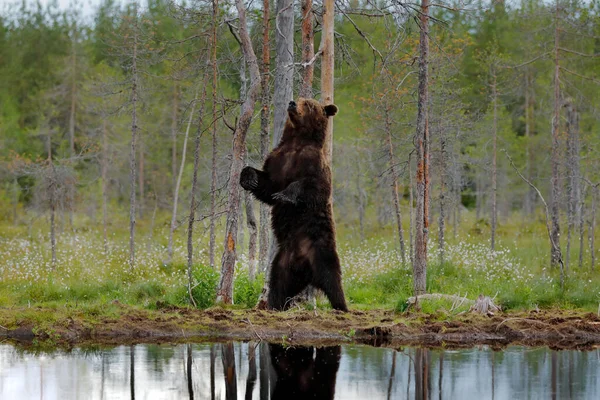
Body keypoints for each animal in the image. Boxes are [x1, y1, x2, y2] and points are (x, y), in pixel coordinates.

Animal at [241, 98, 350, 310]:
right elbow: (266, 184)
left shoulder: (315, 164)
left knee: (333, 282)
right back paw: (274, 305)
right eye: (299, 99)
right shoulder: (277, 161)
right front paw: (249, 179)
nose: (292, 103)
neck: (296, 142)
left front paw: (285, 195)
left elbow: (310, 186)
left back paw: (342, 307)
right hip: (282, 264)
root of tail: (306, 269)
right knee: (278, 285)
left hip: (323, 253)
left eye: (308, 104)